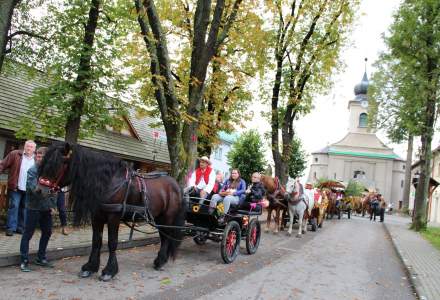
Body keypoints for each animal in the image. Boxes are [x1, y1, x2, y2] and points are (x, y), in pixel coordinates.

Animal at [35, 142, 184, 282]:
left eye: (56, 165)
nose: (39, 190)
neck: (109, 182)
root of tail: (175, 184)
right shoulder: (96, 217)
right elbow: (96, 241)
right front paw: (90, 267)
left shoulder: (114, 217)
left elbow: (112, 242)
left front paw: (109, 271)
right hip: (158, 217)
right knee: (163, 236)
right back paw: (160, 260)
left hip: (167, 217)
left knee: (167, 237)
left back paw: (160, 261)